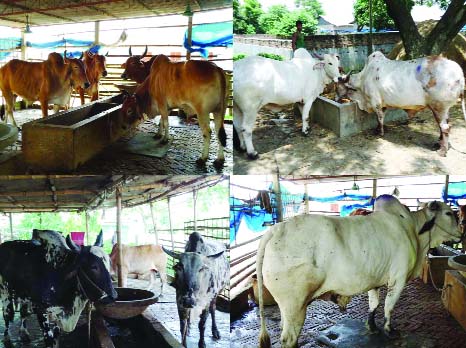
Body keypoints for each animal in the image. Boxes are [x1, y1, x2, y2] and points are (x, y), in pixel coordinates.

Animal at [336, 50, 464, 156]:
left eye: (338, 86)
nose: (337, 98)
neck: (364, 77)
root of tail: (459, 74)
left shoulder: (375, 102)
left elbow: (379, 118)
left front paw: (380, 133)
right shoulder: (383, 104)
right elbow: (381, 118)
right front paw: (379, 129)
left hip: (439, 107)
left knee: (445, 127)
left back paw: (442, 151)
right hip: (443, 109)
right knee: (443, 126)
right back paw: (439, 143)